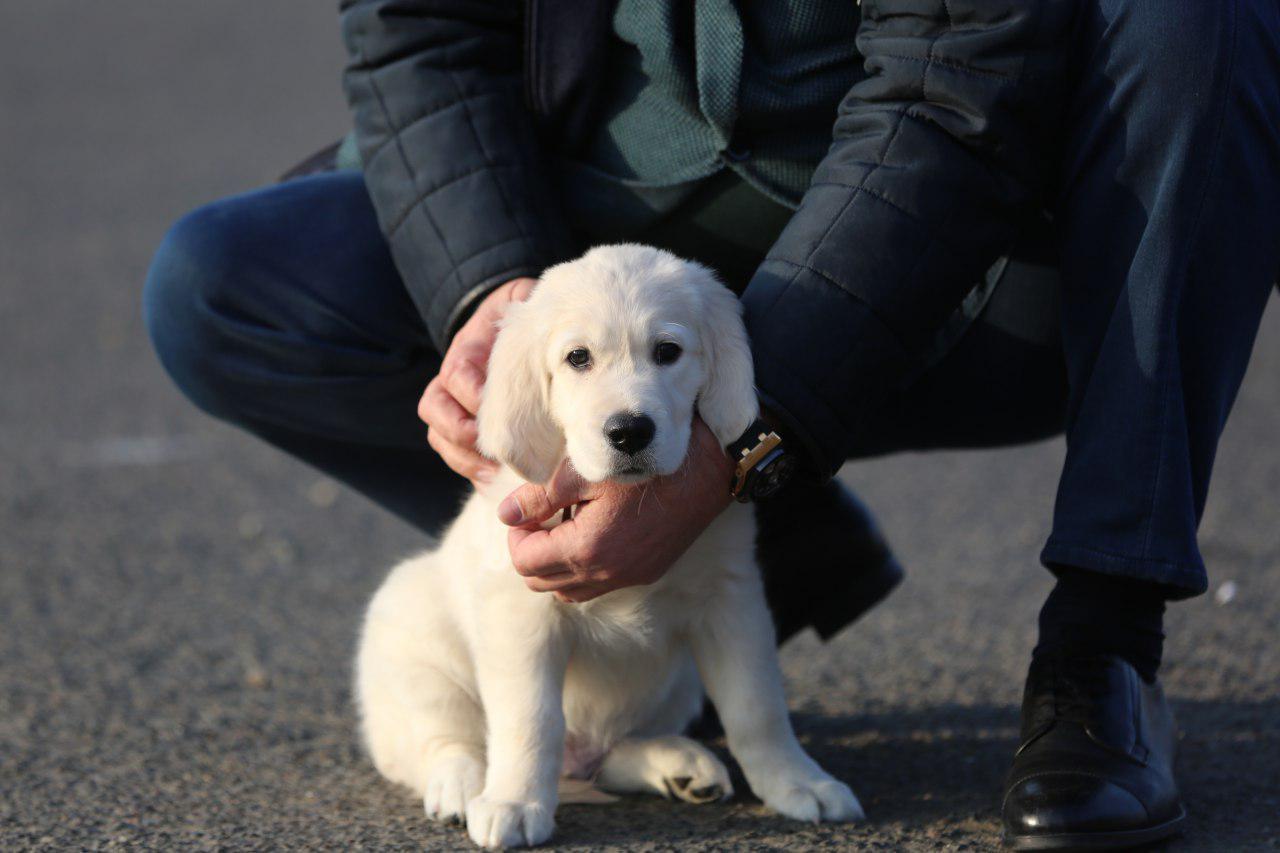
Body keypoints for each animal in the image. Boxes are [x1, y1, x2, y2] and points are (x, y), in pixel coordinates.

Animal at [355, 244, 865, 845]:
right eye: (578, 358)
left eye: (668, 352)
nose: (629, 432)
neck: (632, 497)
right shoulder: (521, 614)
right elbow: (531, 719)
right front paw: (514, 802)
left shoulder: (730, 599)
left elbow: (756, 705)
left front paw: (798, 781)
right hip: (410, 632)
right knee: (443, 741)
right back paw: (463, 787)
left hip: (678, 685)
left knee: (609, 755)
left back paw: (677, 766)